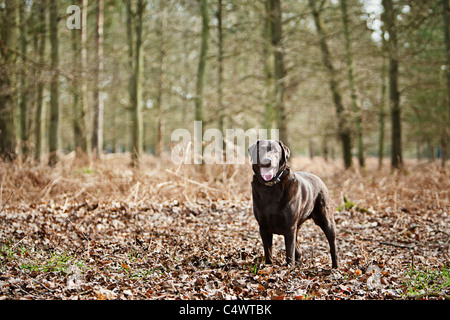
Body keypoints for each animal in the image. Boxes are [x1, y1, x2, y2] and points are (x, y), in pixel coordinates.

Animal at [250, 140, 338, 268]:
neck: (271, 187)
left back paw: (335, 266)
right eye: (260, 149)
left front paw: (289, 268)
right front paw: (268, 267)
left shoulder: (289, 227)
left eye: (275, 151)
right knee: (298, 249)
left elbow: (289, 252)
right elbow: (268, 252)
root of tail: (319, 179)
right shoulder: (263, 227)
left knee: (332, 244)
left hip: (326, 219)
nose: (267, 161)